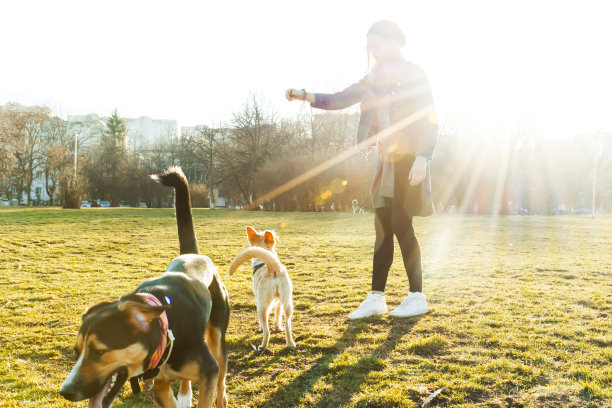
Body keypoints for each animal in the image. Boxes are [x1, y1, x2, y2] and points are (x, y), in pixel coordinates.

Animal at [59, 167, 230, 408]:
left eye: (100, 352)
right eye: (77, 353)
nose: (65, 392)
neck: (167, 333)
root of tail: (192, 254)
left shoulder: (208, 372)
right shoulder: (159, 385)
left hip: (217, 334)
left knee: (222, 369)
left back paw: (220, 398)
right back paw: (185, 393)